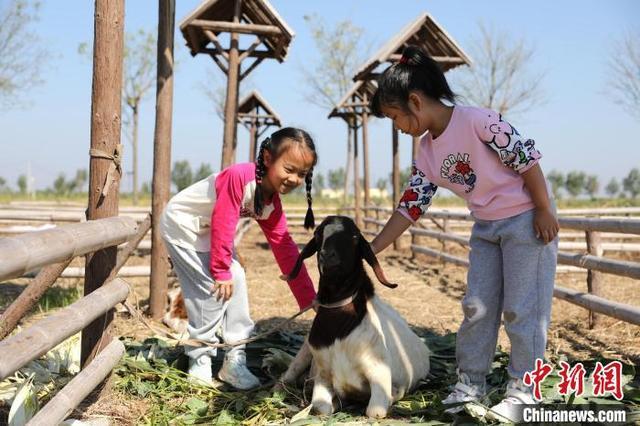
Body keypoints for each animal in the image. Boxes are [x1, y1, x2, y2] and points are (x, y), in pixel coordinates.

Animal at [280, 216, 430, 420]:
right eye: (318, 234)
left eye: (354, 237)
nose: (327, 256)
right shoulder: (323, 375)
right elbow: (320, 408)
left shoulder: (380, 373)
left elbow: (375, 411)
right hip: (304, 352)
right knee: (288, 376)